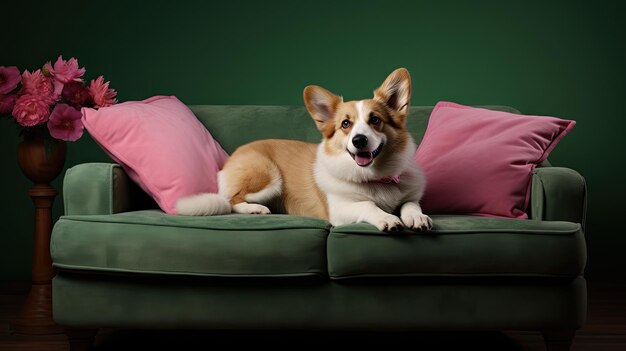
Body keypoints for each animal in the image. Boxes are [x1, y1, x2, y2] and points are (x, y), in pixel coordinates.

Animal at [174, 68, 428, 234]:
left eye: (375, 120)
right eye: (346, 124)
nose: (359, 140)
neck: (376, 177)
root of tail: (230, 160)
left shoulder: (410, 197)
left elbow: (409, 205)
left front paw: (417, 217)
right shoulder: (339, 209)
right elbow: (368, 205)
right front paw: (388, 218)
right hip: (268, 175)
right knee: (230, 200)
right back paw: (256, 209)